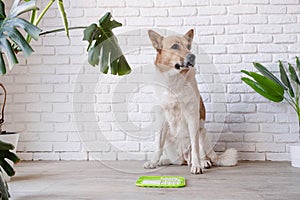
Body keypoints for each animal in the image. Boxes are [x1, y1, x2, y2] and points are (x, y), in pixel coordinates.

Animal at [144, 28, 238, 174]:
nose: (192, 56)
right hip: (170, 143)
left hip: (202, 132)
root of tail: (183, 158)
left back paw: (203, 162)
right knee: (173, 159)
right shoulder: (161, 118)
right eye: (175, 46)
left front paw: (197, 165)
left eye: (189, 47)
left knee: (202, 152)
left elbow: (195, 147)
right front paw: (153, 162)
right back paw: (163, 160)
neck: (174, 82)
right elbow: (158, 144)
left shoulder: (192, 116)